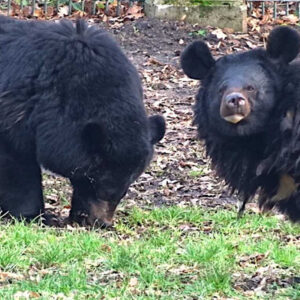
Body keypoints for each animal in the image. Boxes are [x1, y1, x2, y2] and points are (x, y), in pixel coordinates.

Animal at [0, 16, 165, 226]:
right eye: (97, 182)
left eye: (125, 189)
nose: (102, 223)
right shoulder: (14, 111)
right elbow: (17, 166)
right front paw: (36, 216)